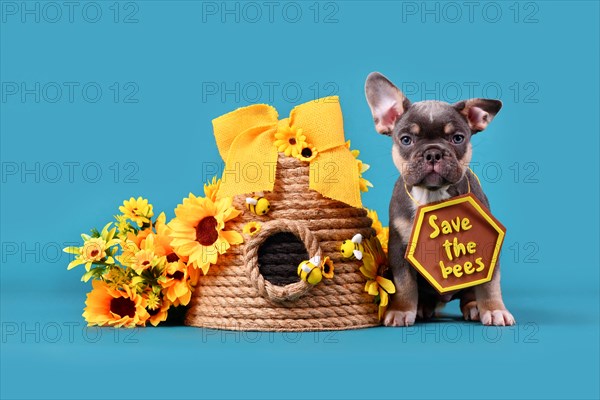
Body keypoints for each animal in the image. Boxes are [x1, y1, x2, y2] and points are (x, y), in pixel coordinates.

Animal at [366, 72, 516, 328]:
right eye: (406, 140)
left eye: (457, 138)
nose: (433, 152)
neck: (432, 195)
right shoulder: (399, 249)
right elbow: (404, 283)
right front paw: (401, 310)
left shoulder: (488, 245)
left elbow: (490, 283)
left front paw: (494, 309)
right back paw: (421, 308)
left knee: (469, 293)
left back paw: (473, 306)